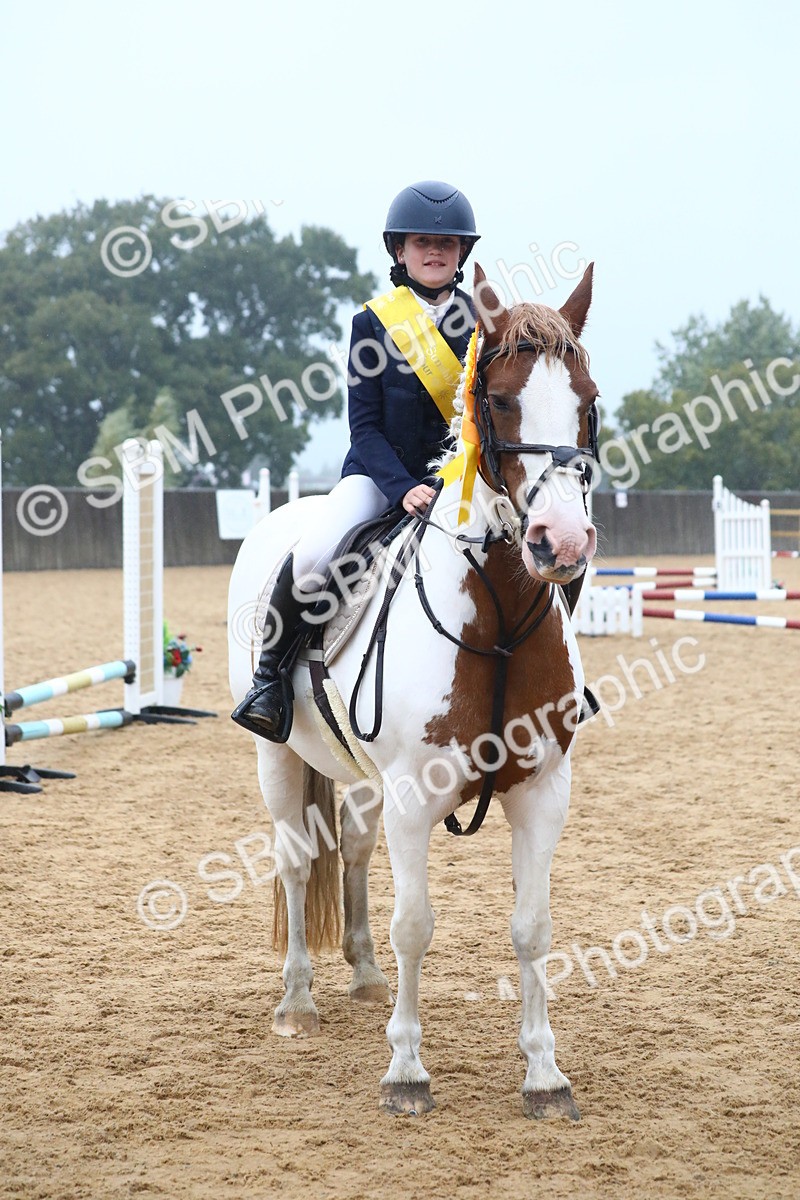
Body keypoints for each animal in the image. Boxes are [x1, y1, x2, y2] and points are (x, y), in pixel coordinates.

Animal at [227, 263, 598, 1119]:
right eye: (499, 400)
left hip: (362, 778)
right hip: (279, 761)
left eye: (588, 399)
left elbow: (532, 926)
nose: (560, 545)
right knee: (296, 861)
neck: (498, 616)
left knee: (354, 850)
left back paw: (364, 978)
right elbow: (416, 925)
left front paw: (544, 1074)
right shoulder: (412, 795)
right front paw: (406, 1072)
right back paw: (297, 1001)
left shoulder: (542, 790)